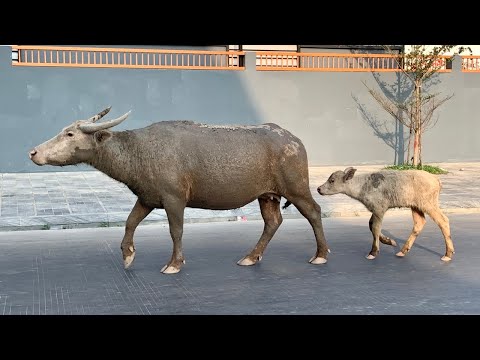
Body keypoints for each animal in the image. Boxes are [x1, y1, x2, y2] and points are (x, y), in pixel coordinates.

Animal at [29, 106, 330, 272]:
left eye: (70, 133)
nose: (33, 152)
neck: (138, 153)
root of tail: (295, 140)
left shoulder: (174, 198)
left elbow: (176, 231)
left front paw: (174, 263)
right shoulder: (147, 198)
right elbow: (129, 222)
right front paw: (128, 255)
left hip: (296, 187)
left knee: (314, 212)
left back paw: (320, 255)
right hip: (267, 194)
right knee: (273, 221)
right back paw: (250, 257)